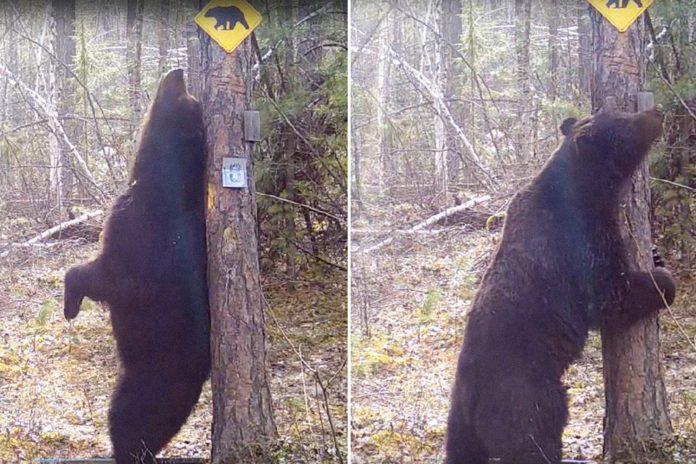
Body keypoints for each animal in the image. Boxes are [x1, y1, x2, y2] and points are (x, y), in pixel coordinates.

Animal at [63, 69, 210, 463]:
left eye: (182, 99)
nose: (178, 71)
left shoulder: (137, 241)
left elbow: (106, 277)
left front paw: (70, 303)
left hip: (146, 381)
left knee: (126, 419)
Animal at [445, 108, 676, 464]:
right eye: (623, 119)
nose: (656, 112)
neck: (585, 190)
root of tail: (470, 398)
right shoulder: (578, 238)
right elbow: (610, 294)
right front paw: (663, 281)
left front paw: (655, 255)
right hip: (525, 394)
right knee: (535, 438)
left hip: (459, 427)